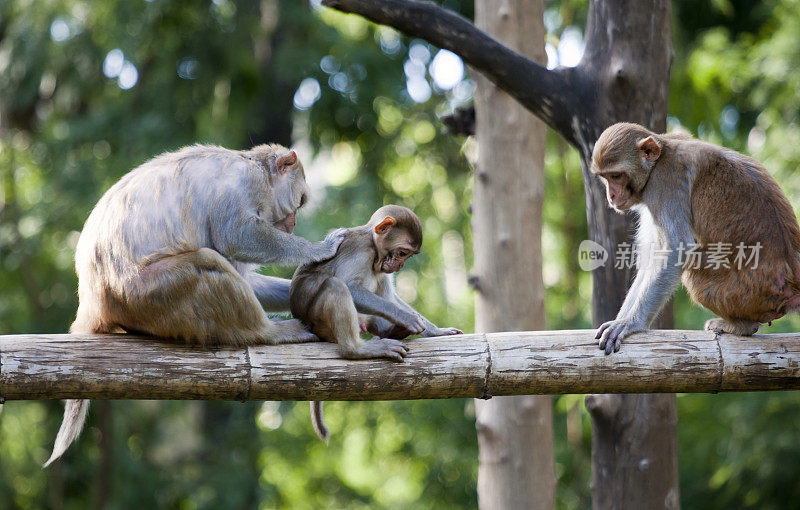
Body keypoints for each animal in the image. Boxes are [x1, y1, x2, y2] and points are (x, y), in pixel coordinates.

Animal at [43, 142, 344, 466]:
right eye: (299, 202)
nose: (293, 225)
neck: (257, 169)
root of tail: (93, 300)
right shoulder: (244, 184)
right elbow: (236, 235)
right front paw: (317, 249)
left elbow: (244, 274)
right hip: (145, 293)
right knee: (206, 262)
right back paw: (269, 332)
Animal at [290, 204, 462, 438]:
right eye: (402, 252)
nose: (399, 265)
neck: (371, 241)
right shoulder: (363, 252)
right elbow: (350, 285)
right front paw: (407, 318)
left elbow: (390, 294)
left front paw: (435, 330)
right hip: (321, 324)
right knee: (337, 285)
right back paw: (357, 349)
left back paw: (393, 332)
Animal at [588, 123, 800, 354]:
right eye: (605, 177)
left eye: (616, 176)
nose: (611, 196)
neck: (659, 158)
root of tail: (792, 281)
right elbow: (651, 259)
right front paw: (621, 319)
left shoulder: (664, 183)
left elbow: (676, 249)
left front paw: (631, 323)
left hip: (743, 293)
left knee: (693, 271)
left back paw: (741, 327)